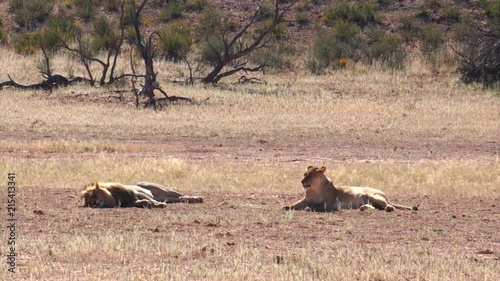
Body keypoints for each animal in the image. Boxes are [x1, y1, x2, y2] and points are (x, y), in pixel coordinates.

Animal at [282, 165, 418, 211]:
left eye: (310, 175)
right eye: (304, 174)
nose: (302, 181)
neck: (314, 189)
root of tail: (385, 195)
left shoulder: (329, 203)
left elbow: (316, 206)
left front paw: (308, 209)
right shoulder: (305, 200)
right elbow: (296, 204)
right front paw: (286, 206)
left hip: (373, 195)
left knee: (389, 205)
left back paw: (389, 208)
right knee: (375, 207)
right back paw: (364, 208)